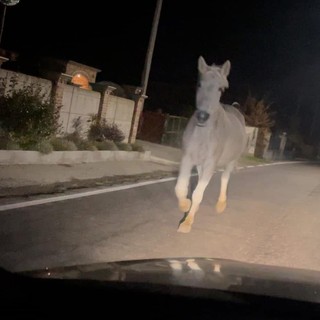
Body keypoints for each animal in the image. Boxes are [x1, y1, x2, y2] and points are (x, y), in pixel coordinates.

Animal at [174, 57, 246, 232]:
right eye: (200, 84)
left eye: (221, 88)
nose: (202, 116)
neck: (203, 134)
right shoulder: (187, 158)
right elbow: (181, 187)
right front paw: (185, 206)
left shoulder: (210, 163)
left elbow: (198, 193)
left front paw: (187, 222)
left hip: (230, 161)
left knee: (225, 178)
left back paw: (221, 204)